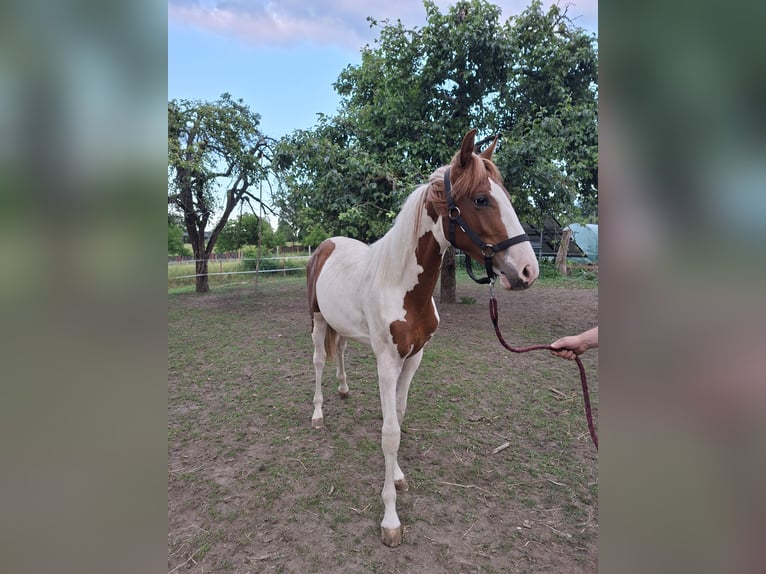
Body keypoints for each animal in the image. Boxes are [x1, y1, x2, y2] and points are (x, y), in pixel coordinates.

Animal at [306, 129, 539, 547]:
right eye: (481, 199)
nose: (528, 270)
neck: (399, 285)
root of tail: (327, 244)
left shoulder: (415, 357)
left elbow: (398, 416)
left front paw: (397, 476)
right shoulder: (387, 362)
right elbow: (389, 433)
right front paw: (390, 519)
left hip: (340, 324)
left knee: (341, 350)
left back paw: (344, 388)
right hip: (316, 319)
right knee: (318, 361)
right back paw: (318, 414)